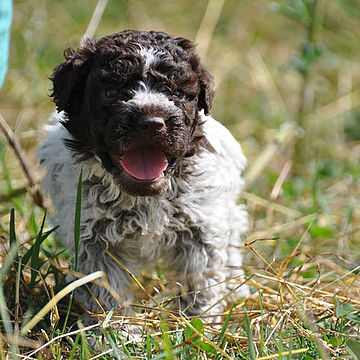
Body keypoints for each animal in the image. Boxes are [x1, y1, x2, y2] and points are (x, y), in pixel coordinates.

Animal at [38, 30, 249, 318]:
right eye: (112, 92)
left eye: (177, 93)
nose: (151, 123)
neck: (144, 196)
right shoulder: (93, 239)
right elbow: (107, 289)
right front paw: (118, 328)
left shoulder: (201, 227)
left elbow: (201, 281)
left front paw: (199, 321)